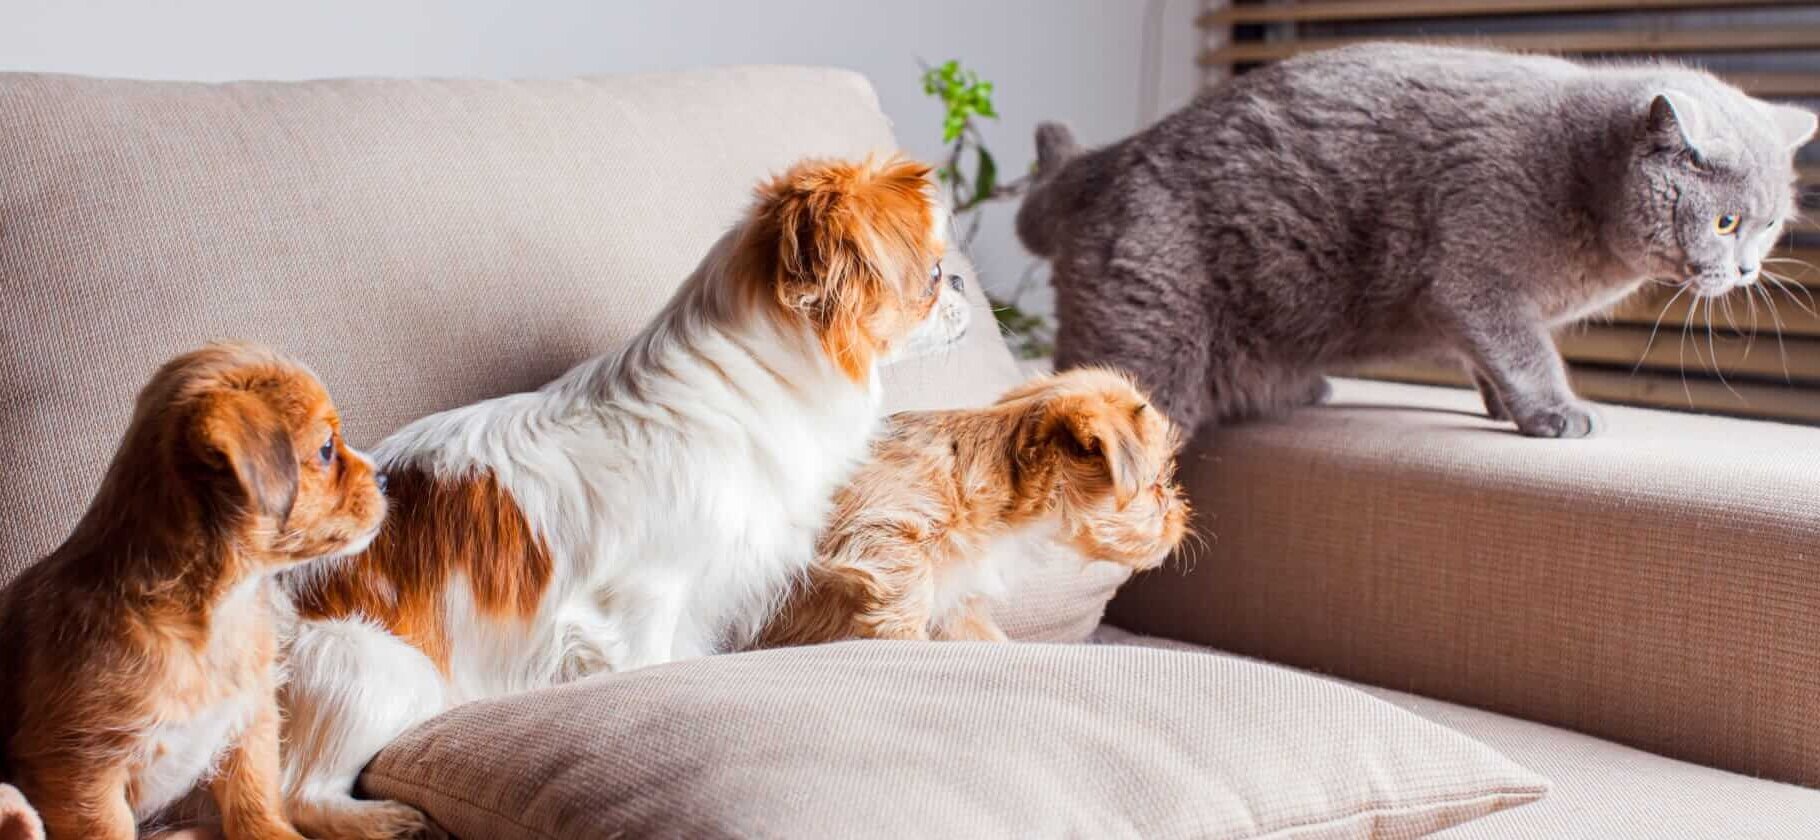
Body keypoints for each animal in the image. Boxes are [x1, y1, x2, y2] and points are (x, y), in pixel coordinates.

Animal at [0, 343, 394, 840]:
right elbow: (109, 829)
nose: (385, 479)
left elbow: (255, 804)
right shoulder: (81, 774)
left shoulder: (250, 724)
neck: (215, 613)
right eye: (326, 449)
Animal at [278, 154, 968, 836]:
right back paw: (392, 821)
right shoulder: (646, 597)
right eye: (934, 276)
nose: (964, 281)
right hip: (379, 672)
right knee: (300, 797)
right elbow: (646, 664)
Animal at [760, 363, 1186, 647]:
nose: (1182, 517)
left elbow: (982, 635)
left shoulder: (956, 605)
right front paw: (905, 637)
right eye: (1159, 485)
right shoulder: (876, 531)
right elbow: (907, 590)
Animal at [1019, 44, 1812, 440]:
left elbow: (1492, 357)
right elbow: (1523, 348)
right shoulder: (1475, 274)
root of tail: (1107, 159)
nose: (1747, 271)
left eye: (1770, 224)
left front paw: (1505, 406)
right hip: (1152, 337)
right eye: (1726, 222)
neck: (1583, 179)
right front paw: (1554, 413)